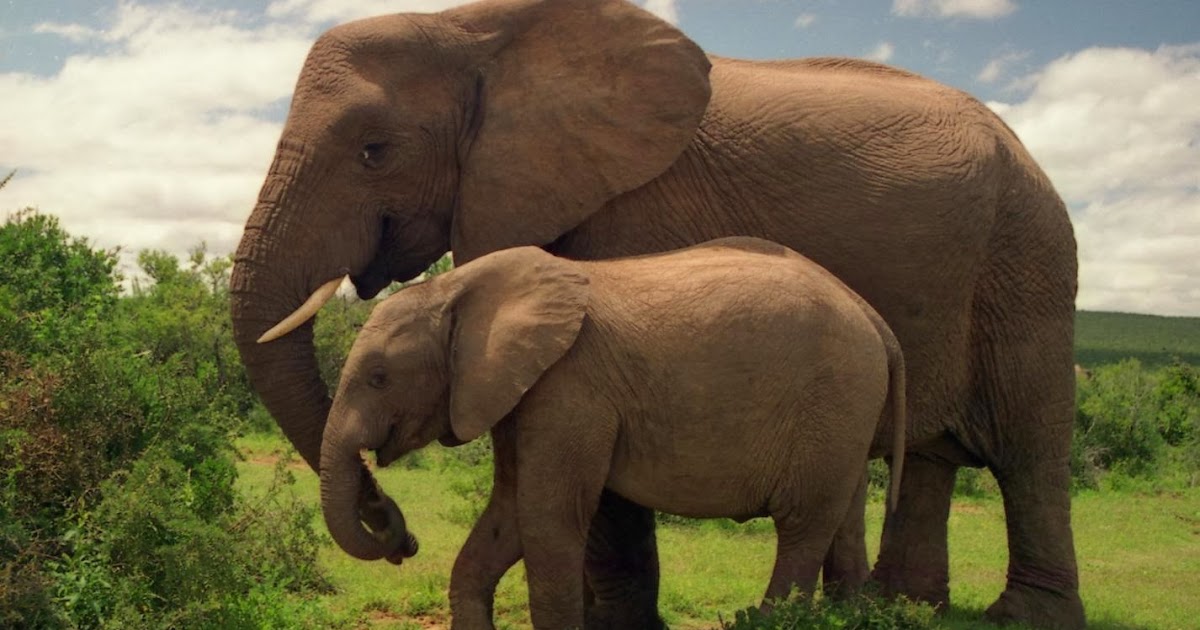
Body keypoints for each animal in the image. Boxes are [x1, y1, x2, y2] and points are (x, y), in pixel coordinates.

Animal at [319, 238, 908, 629]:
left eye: (378, 378)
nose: (405, 542)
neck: (458, 289)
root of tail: (877, 321)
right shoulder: (519, 393)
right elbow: (508, 514)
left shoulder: (570, 388)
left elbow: (546, 517)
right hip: (846, 415)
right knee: (844, 521)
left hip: (832, 401)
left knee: (803, 526)